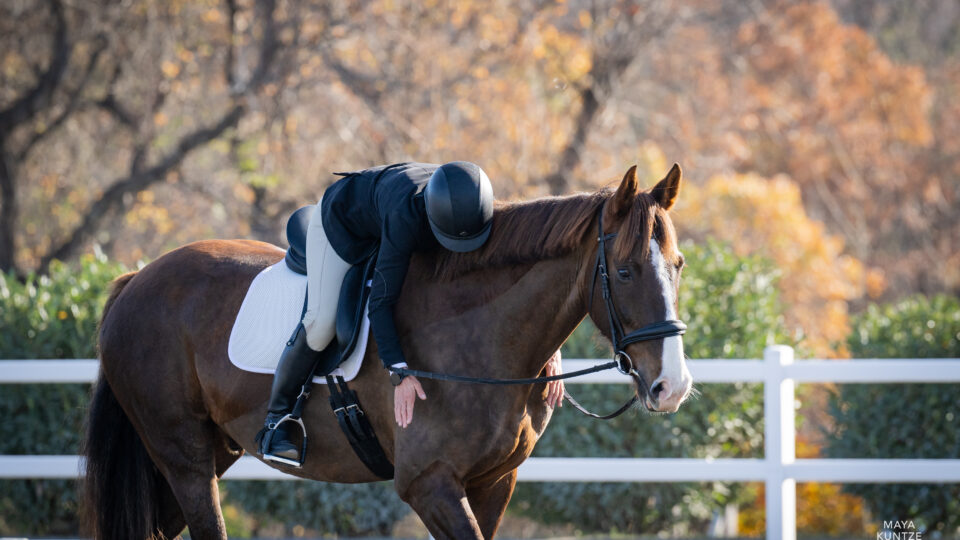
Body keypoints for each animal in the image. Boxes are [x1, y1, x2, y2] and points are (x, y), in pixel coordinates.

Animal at [82, 163, 692, 540]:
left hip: (211, 450)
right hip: (182, 455)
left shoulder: (493, 482)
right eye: (625, 270)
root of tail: (137, 280)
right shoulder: (430, 484)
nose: (673, 387)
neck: (484, 341)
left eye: (679, 265)